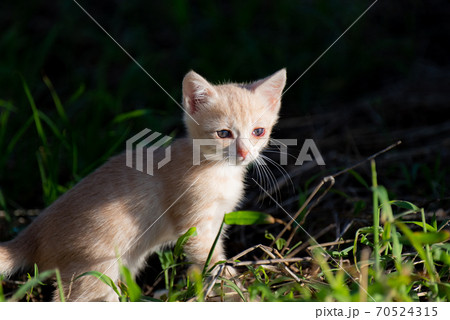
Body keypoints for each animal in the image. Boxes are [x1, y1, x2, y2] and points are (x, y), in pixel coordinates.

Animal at [0, 69, 286, 302]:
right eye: (224, 134)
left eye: (258, 131)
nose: (244, 153)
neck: (218, 170)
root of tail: (33, 232)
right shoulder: (194, 225)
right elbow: (215, 264)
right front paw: (240, 293)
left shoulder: (215, 224)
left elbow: (206, 264)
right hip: (94, 269)